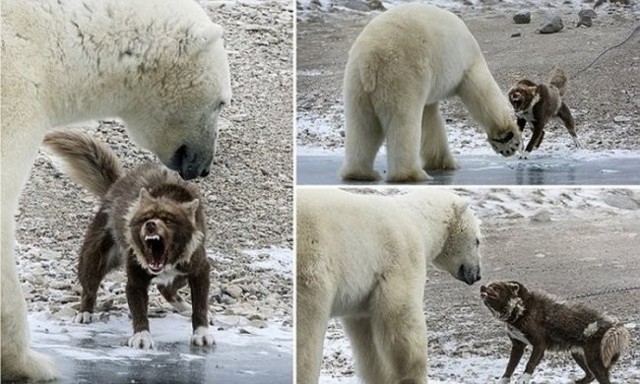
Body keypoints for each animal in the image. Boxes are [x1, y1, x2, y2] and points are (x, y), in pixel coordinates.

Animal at [45, 130, 215, 350]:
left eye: (168, 219)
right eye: (144, 217)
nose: (150, 225)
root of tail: (115, 186)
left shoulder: (199, 268)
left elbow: (200, 306)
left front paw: (201, 332)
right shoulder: (136, 278)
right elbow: (139, 309)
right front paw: (142, 336)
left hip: (183, 272)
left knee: (166, 286)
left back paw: (183, 306)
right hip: (96, 256)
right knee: (89, 286)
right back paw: (85, 312)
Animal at [296, 188, 480, 384]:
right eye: (477, 240)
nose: (477, 274)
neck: (418, 221)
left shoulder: (363, 292)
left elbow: (368, 340)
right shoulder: (401, 259)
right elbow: (402, 320)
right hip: (312, 264)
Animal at [342, 4, 524, 182]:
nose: (510, 151)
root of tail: (371, 61)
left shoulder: (430, 90)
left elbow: (429, 120)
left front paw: (442, 163)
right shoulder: (467, 64)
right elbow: (482, 93)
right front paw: (506, 131)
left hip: (357, 84)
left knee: (363, 126)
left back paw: (360, 173)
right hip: (401, 77)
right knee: (403, 122)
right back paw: (412, 174)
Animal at [482, 280, 628, 384]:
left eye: (495, 287)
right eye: (489, 285)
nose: (482, 287)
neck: (521, 309)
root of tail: (614, 325)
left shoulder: (539, 345)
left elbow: (530, 364)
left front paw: (524, 378)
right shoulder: (518, 346)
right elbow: (510, 366)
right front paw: (503, 380)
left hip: (595, 362)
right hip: (579, 355)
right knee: (590, 375)